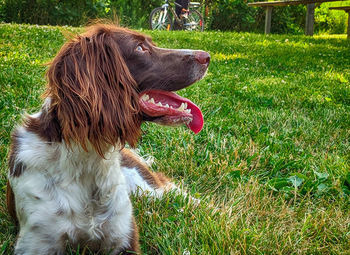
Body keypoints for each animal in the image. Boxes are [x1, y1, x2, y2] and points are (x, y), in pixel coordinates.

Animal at [6, 22, 209, 254]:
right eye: (140, 48)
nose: (206, 56)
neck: (86, 161)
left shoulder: (123, 238)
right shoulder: (36, 241)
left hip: (144, 184)